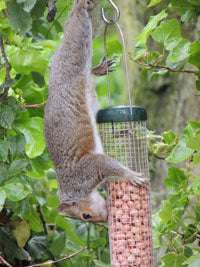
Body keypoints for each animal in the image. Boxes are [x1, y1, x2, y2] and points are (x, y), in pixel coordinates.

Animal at [44, 0, 147, 223]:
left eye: (86, 215)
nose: (106, 219)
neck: (77, 189)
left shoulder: (87, 170)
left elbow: (108, 164)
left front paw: (132, 175)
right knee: (89, 78)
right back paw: (97, 70)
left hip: (77, 51)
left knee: (80, 24)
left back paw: (81, 5)